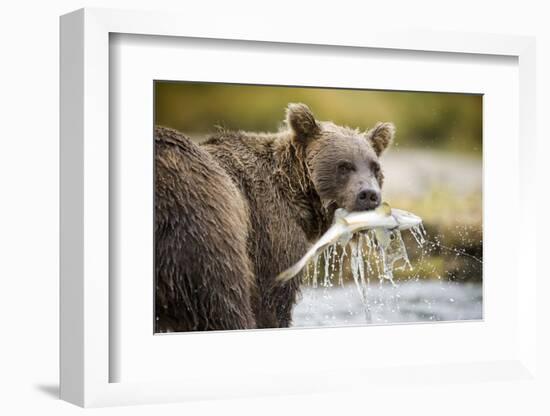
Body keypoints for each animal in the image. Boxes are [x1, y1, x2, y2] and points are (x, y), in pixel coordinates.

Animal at [155, 103, 396, 332]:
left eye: (375, 168)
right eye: (344, 166)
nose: (369, 195)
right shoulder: (270, 232)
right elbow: (271, 302)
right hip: (201, 224)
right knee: (222, 303)